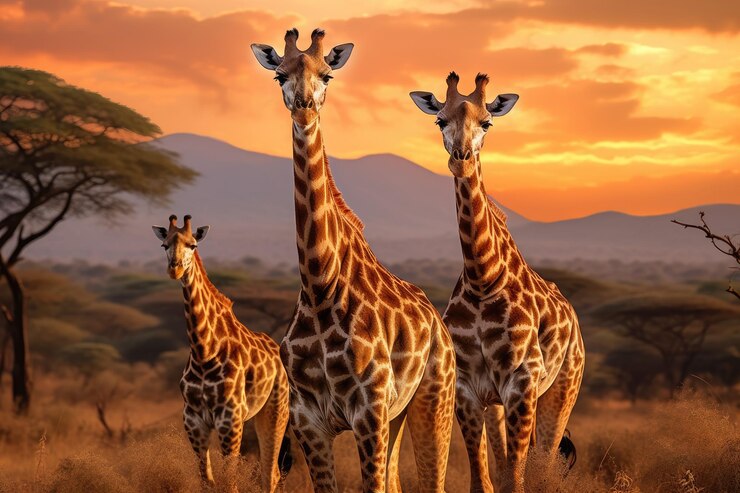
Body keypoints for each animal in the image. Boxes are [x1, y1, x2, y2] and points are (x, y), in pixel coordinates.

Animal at [152, 214, 292, 493]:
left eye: (193, 245)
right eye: (164, 245)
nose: (175, 269)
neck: (204, 351)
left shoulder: (230, 418)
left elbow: (230, 483)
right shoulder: (193, 420)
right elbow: (208, 481)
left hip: (276, 409)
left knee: (270, 474)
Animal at [251, 29, 457, 493]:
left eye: (326, 73)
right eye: (279, 75)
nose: (304, 104)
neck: (320, 284)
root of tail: (438, 325)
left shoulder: (368, 410)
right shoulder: (308, 420)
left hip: (434, 398)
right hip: (398, 415)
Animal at [410, 73, 585, 493]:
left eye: (487, 122)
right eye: (439, 120)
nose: (460, 160)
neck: (483, 278)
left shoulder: (521, 382)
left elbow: (515, 480)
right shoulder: (469, 389)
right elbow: (484, 481)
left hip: (562, 389)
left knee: (545, 462)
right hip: (500, 404)